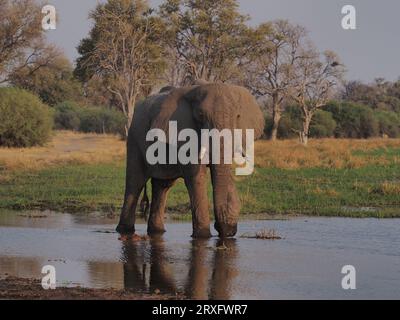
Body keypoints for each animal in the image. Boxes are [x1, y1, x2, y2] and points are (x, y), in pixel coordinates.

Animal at [116, 82, 266, 238]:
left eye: (238, 116)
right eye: (200, 115)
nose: (225, 230)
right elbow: (196, 177)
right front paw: (203, 236)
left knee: (162, 185)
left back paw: (157, 231)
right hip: (134, 137)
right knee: (135, 182)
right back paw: (125, 231)